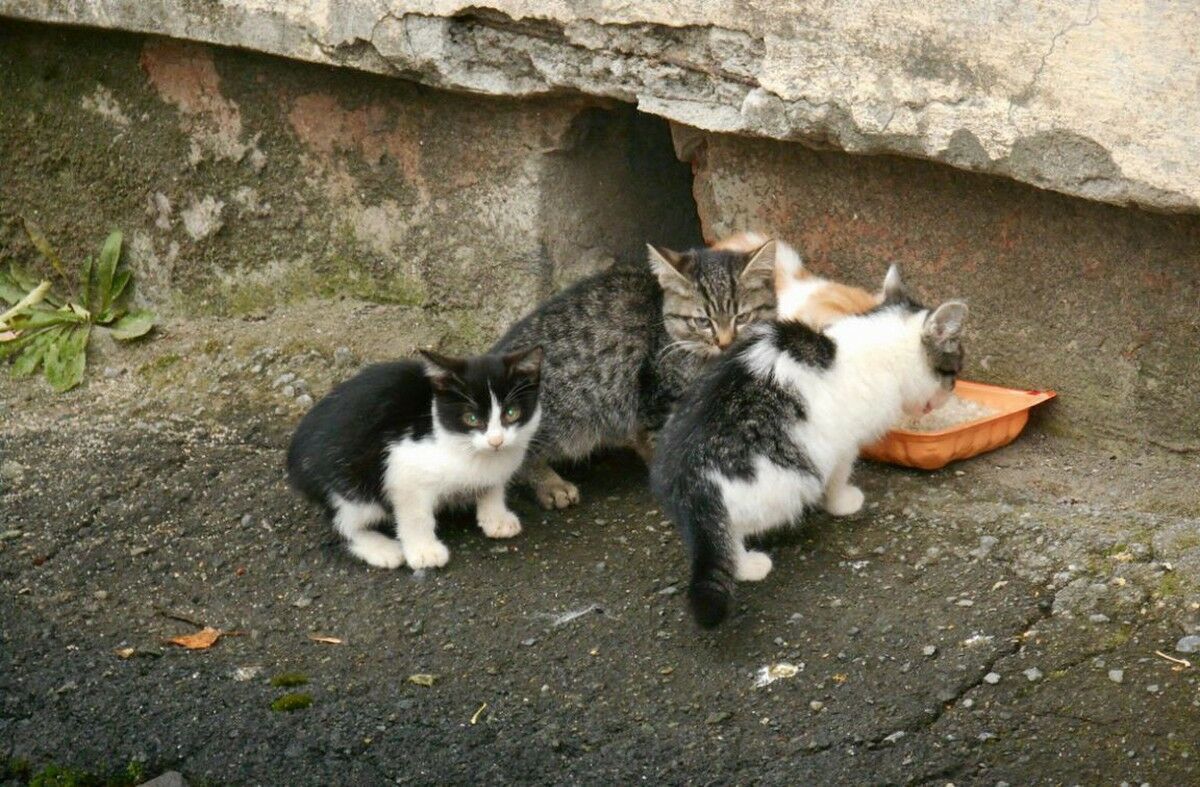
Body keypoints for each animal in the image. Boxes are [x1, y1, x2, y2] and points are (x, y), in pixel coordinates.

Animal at [286, 347, 544, 568]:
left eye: (511, 413)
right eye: (471, 418)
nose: (496, 441)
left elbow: (493, 484)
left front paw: (496, 517)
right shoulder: (402, 466)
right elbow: (415, 515)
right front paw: (424, 551)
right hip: (351, 483)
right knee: (342, 524)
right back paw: (381, 548)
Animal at [652, 266, 969, 628]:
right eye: (954, 370)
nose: (951, 391)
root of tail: (691, 478)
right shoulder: (842, 442)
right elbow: (839, 475)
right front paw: (843, 502)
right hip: (786, 482)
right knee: (731, 532)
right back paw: (749, 565)